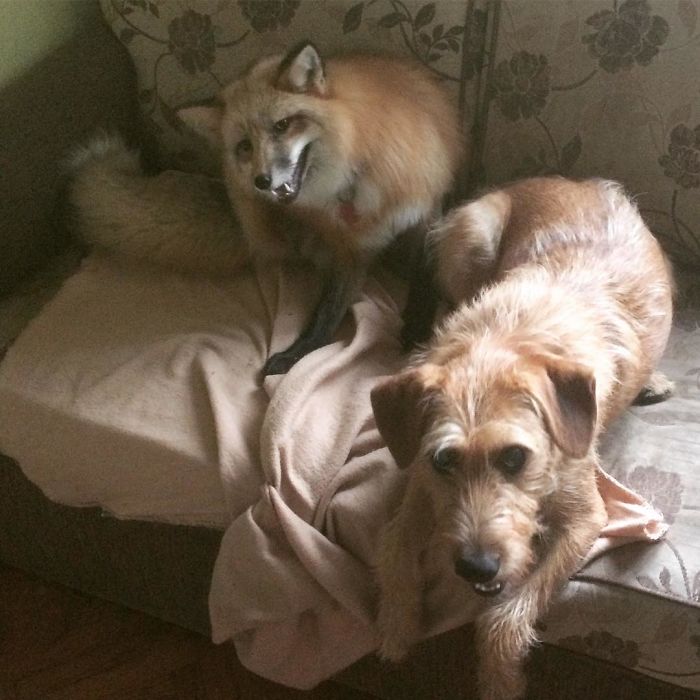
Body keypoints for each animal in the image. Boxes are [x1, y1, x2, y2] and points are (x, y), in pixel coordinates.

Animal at [69, 41, 463, 375]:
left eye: (282, 125)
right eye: (244, 146)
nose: (262, 181)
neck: (350, 178)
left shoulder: (425, 214)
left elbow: (425, 276)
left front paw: (418, 326)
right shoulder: (350, 247)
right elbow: (325, 314)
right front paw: (297, 354)